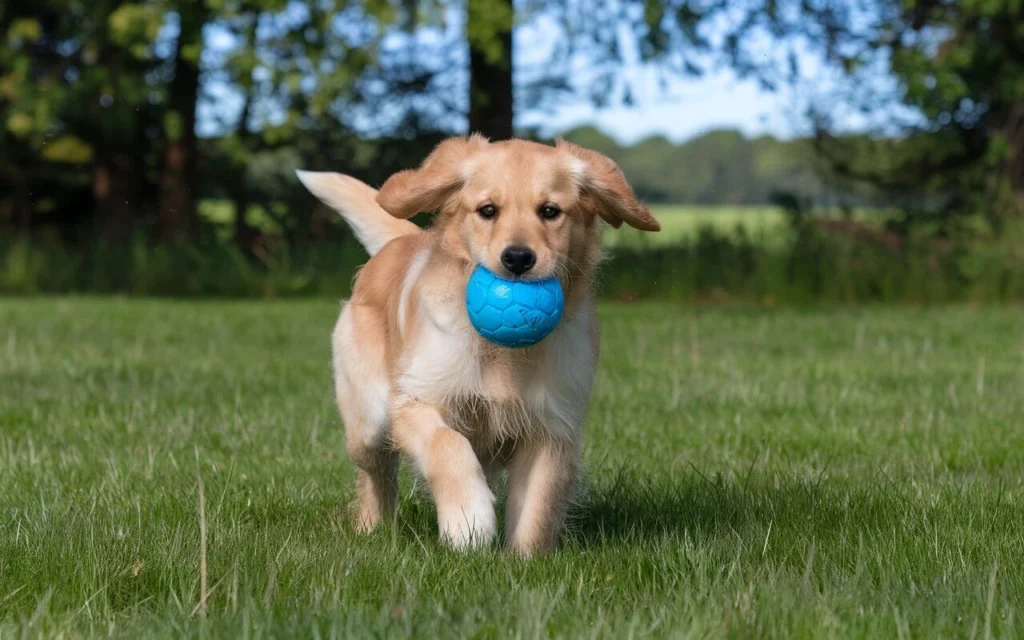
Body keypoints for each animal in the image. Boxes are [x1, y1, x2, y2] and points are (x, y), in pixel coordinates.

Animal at [296, 135, 663, 552]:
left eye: (550, 211)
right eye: (488, 210)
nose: (518, 258)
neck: (502, 352)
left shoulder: (552, 427)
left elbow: (537, 508)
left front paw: (524, 559)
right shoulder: (415, 402)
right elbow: (446, 444)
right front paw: (467, 518)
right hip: (368, 420)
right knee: (376, 473)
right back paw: (373, 528)